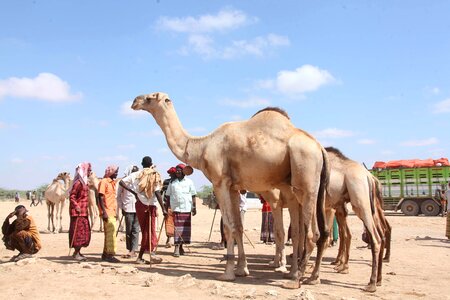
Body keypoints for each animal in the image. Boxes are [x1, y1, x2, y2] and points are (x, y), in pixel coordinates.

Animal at [132, 90, 328, 288]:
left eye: (150, 98)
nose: (134, 101)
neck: (202, 147)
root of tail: (320, 148)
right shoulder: (234, 187)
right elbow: (239, 227)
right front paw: (242, 269)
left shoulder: (220, 182)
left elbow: (228, 226)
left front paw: (227, 273)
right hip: (310, 188)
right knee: (309, 232)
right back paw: (309, 277)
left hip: (305, 176)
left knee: (309, 233)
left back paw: (296, 278)